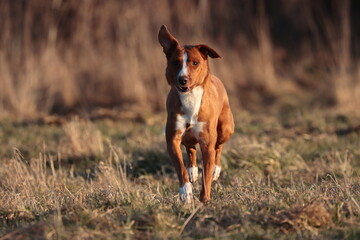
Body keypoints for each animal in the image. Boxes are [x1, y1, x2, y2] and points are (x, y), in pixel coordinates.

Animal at [159, 25, 235, 203]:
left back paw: (216, 169)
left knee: (219, 146)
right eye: (175, 62)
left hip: (226, 128)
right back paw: (192, 170)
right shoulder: (172, 139)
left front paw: (204, 199)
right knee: (190, 148)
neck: (190, 98)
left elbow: (206, 175)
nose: (182, 79)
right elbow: (180, 167)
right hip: (187, 136)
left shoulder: (207, 143)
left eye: (195, 63)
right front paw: (186, 192)